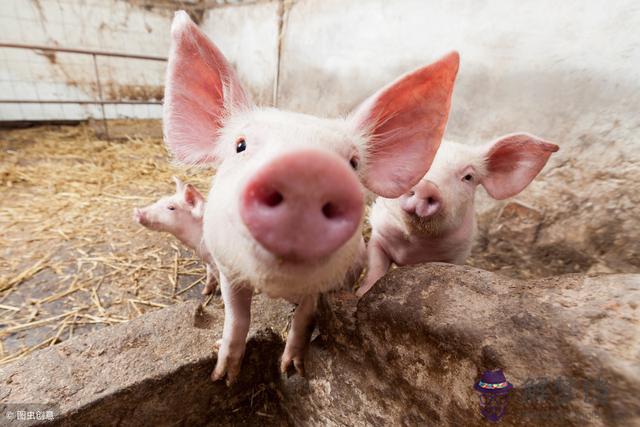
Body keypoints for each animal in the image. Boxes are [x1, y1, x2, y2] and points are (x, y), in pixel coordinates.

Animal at [162, 10, 458, 384]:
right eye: (240, 145)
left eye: (353, 162)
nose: (308, 168)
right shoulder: (227, 267)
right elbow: (237, 317)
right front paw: (223, 377)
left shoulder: (327, 283)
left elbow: (305, 317)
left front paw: (292, 370)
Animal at [358, 135, 556, 298]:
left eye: (468, 177)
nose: (427, 187)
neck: (414, 245)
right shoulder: (379, 236)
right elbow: (375, 267)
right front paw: (362, 293)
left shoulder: (458, 254)